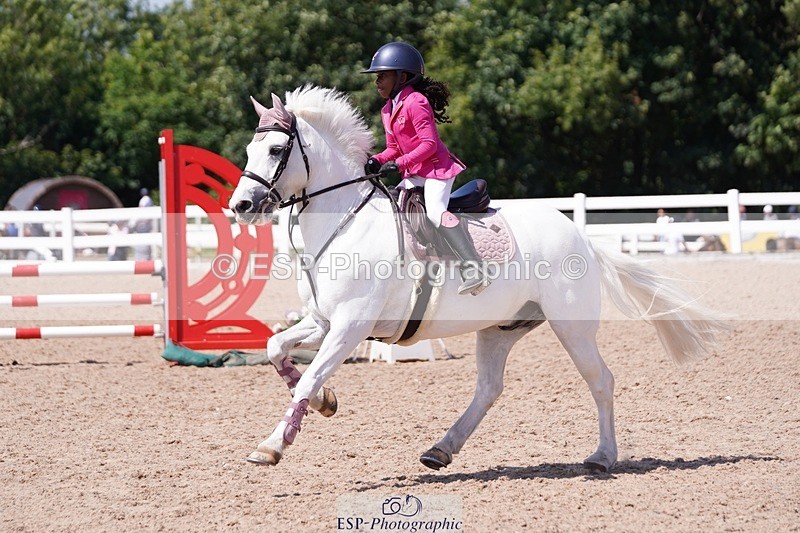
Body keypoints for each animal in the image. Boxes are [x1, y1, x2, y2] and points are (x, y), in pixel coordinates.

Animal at [229, 85, 729, 472]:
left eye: (276, 150)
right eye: (250, 151)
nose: (241, 206)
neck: (344, 223)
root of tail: (580, 234)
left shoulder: (351, 326)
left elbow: (310, 375)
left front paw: (272, 445)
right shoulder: (324, 322)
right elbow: (277, 350)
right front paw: (324, 401)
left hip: (571, 325)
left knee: (600, 380)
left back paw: (602, 457)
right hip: (501, 328)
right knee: (489, 389)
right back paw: (440, 450)